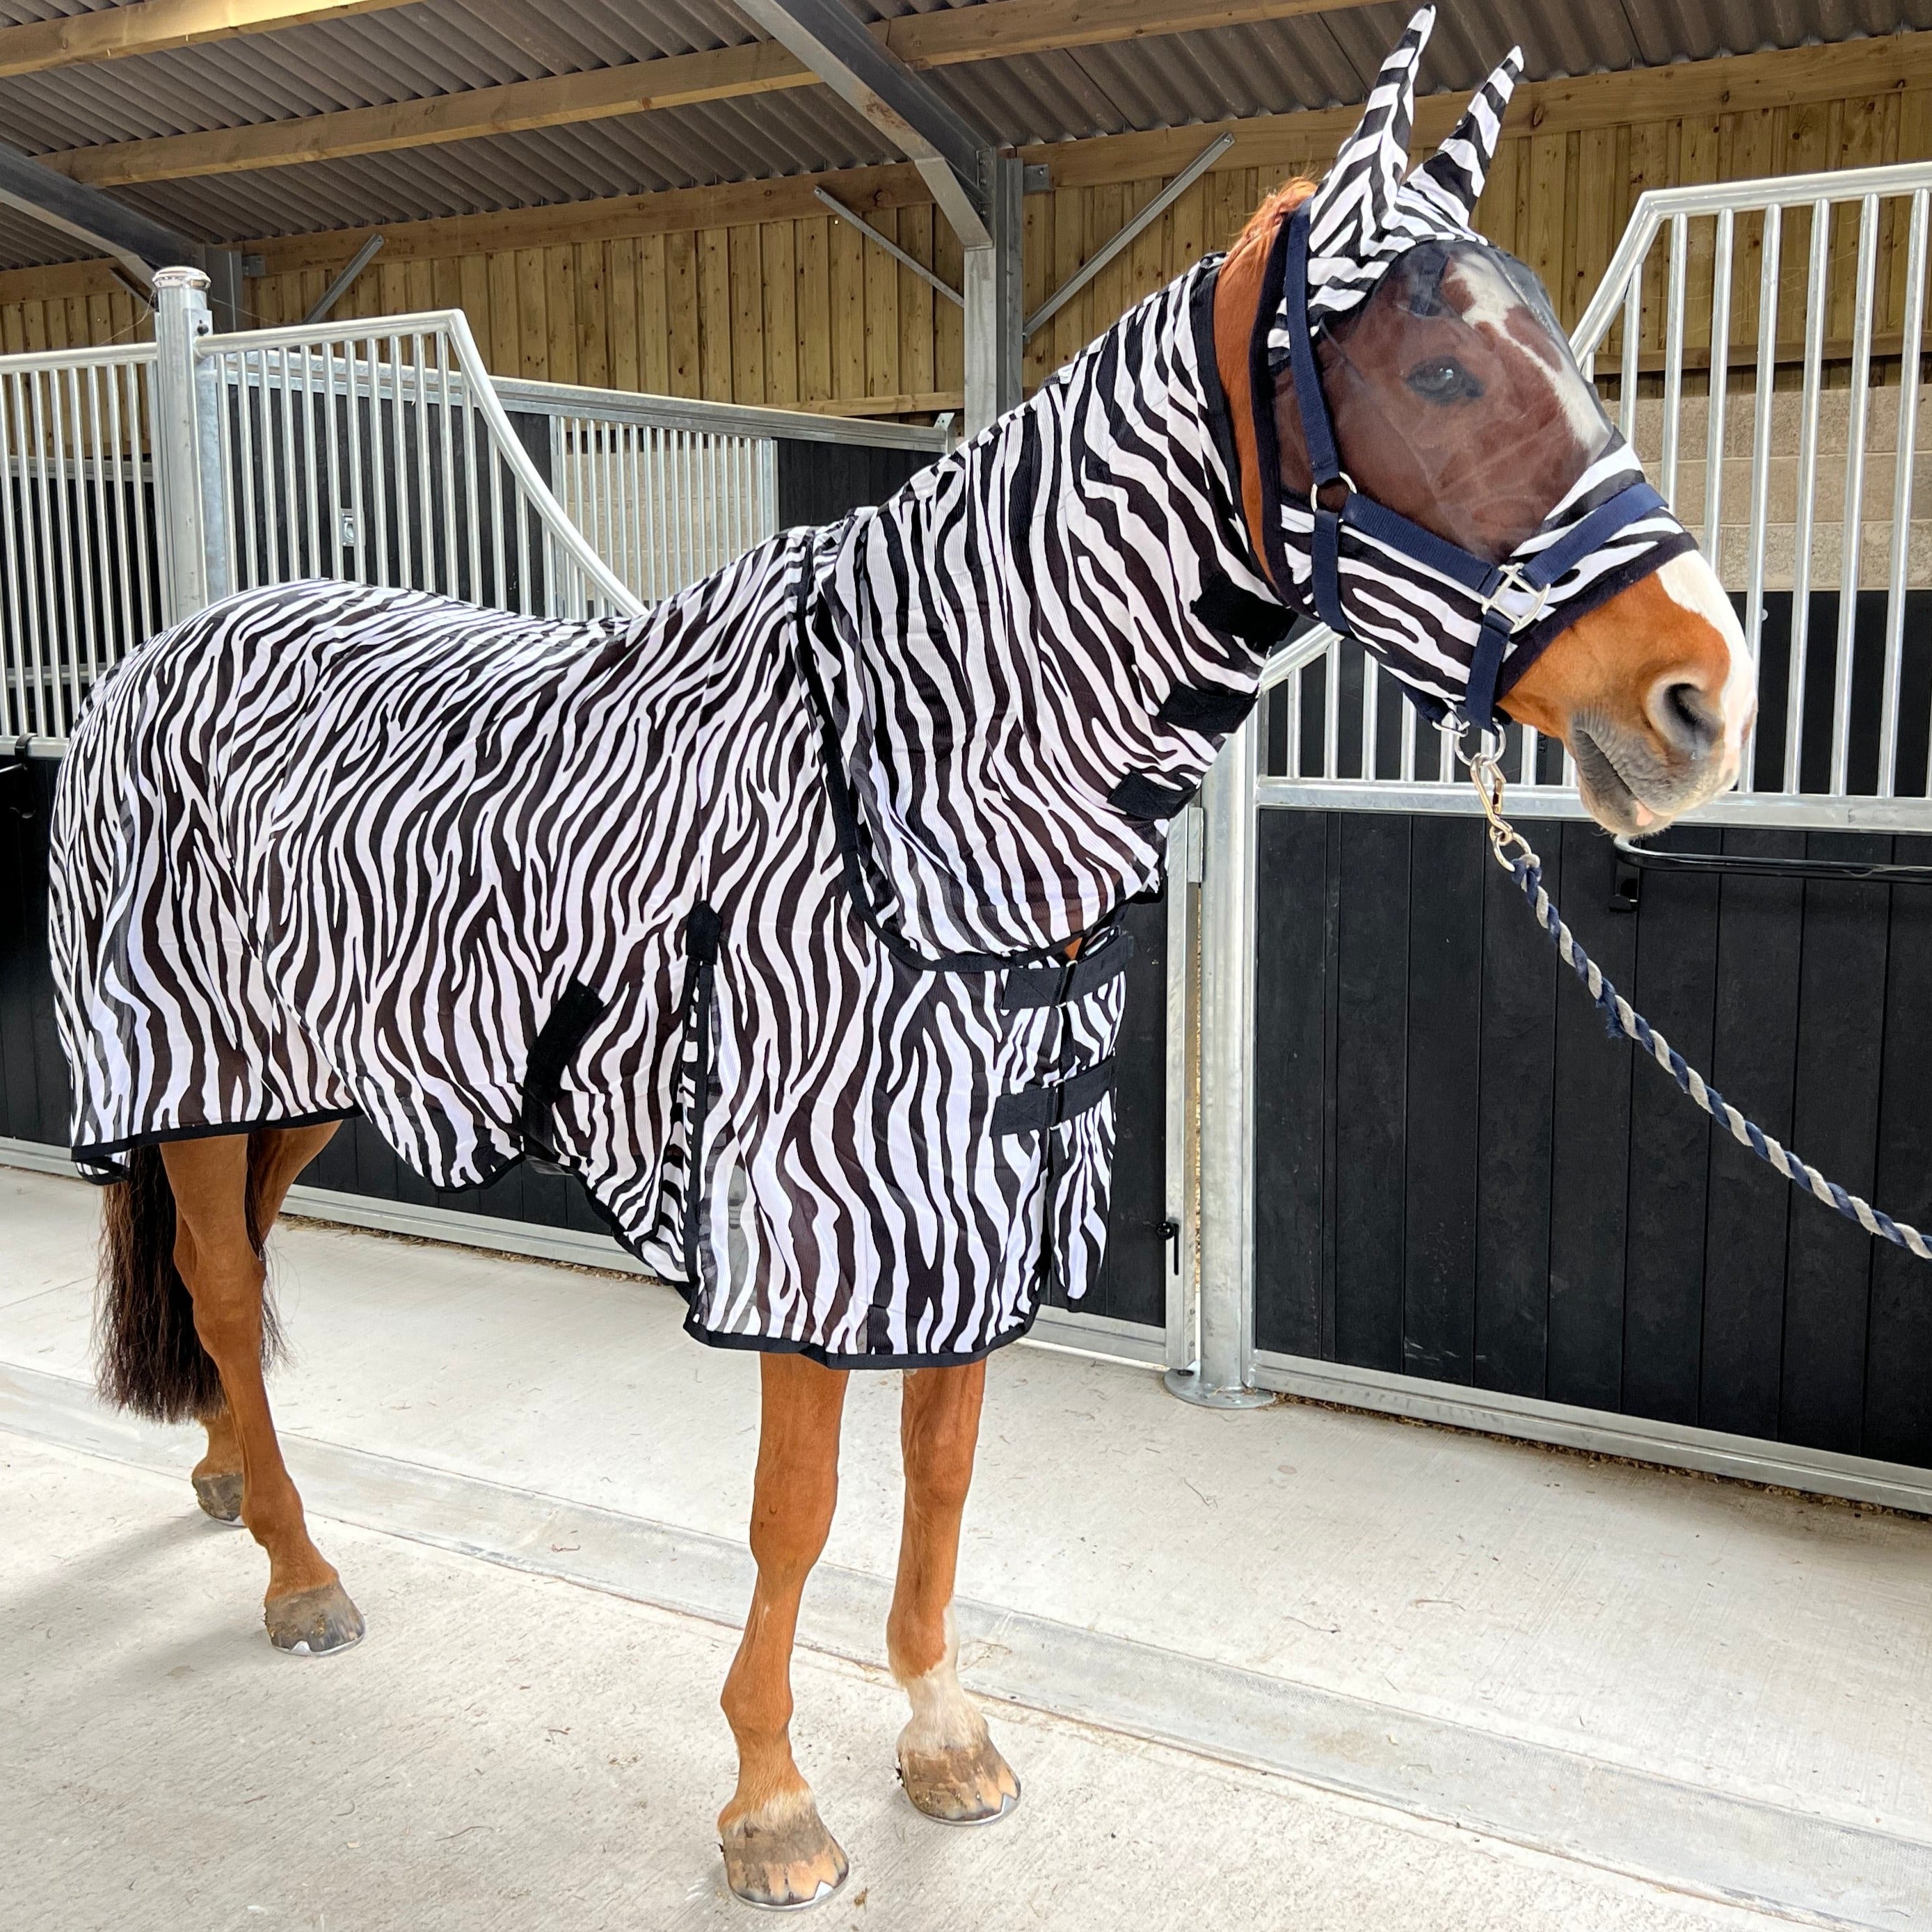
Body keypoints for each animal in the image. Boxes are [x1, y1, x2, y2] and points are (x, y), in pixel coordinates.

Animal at [52, 16, 1752, 1909]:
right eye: (1443, 371)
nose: (1703, 696)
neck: (906, 788)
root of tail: (164, 648)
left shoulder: (975, 1201)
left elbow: (940, 1474)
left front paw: (940, 1733)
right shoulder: (805, 1219)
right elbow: (794, 1511)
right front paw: (770, 1801)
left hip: (299, 1077)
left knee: (227, 1268)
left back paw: (231, 1479)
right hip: (192, 1059)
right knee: (217, 1278)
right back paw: (298, 1571)